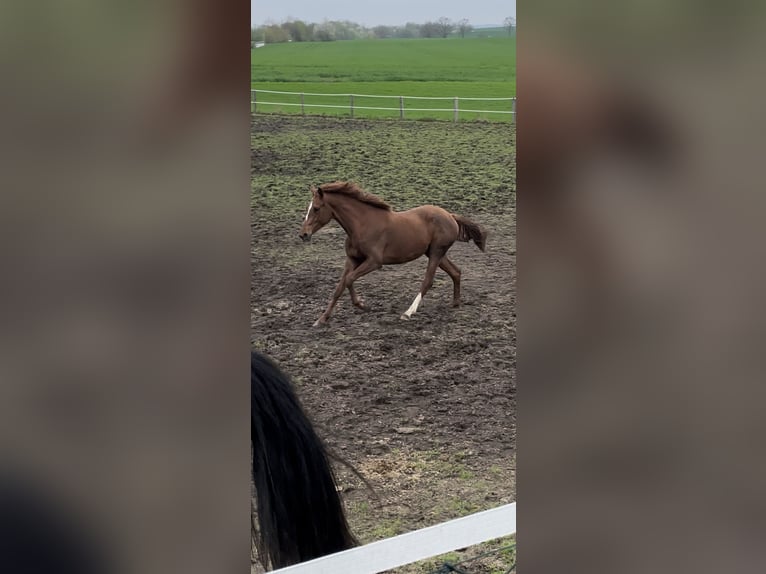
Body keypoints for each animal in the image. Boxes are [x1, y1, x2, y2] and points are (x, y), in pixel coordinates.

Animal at [298, 181, 488, 326]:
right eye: (308, 208)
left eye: (316, 208)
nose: (303, 234)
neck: (361, 225)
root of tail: (450, 215)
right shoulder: (352, 259)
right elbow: (340, 287)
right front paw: (322, 319)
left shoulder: (374, 262)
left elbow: (349, 279)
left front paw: (362, 305)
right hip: (436, 254)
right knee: (456, 272)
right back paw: (455, 303)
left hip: (436, 253)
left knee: (428, 281)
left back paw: (408, 312)